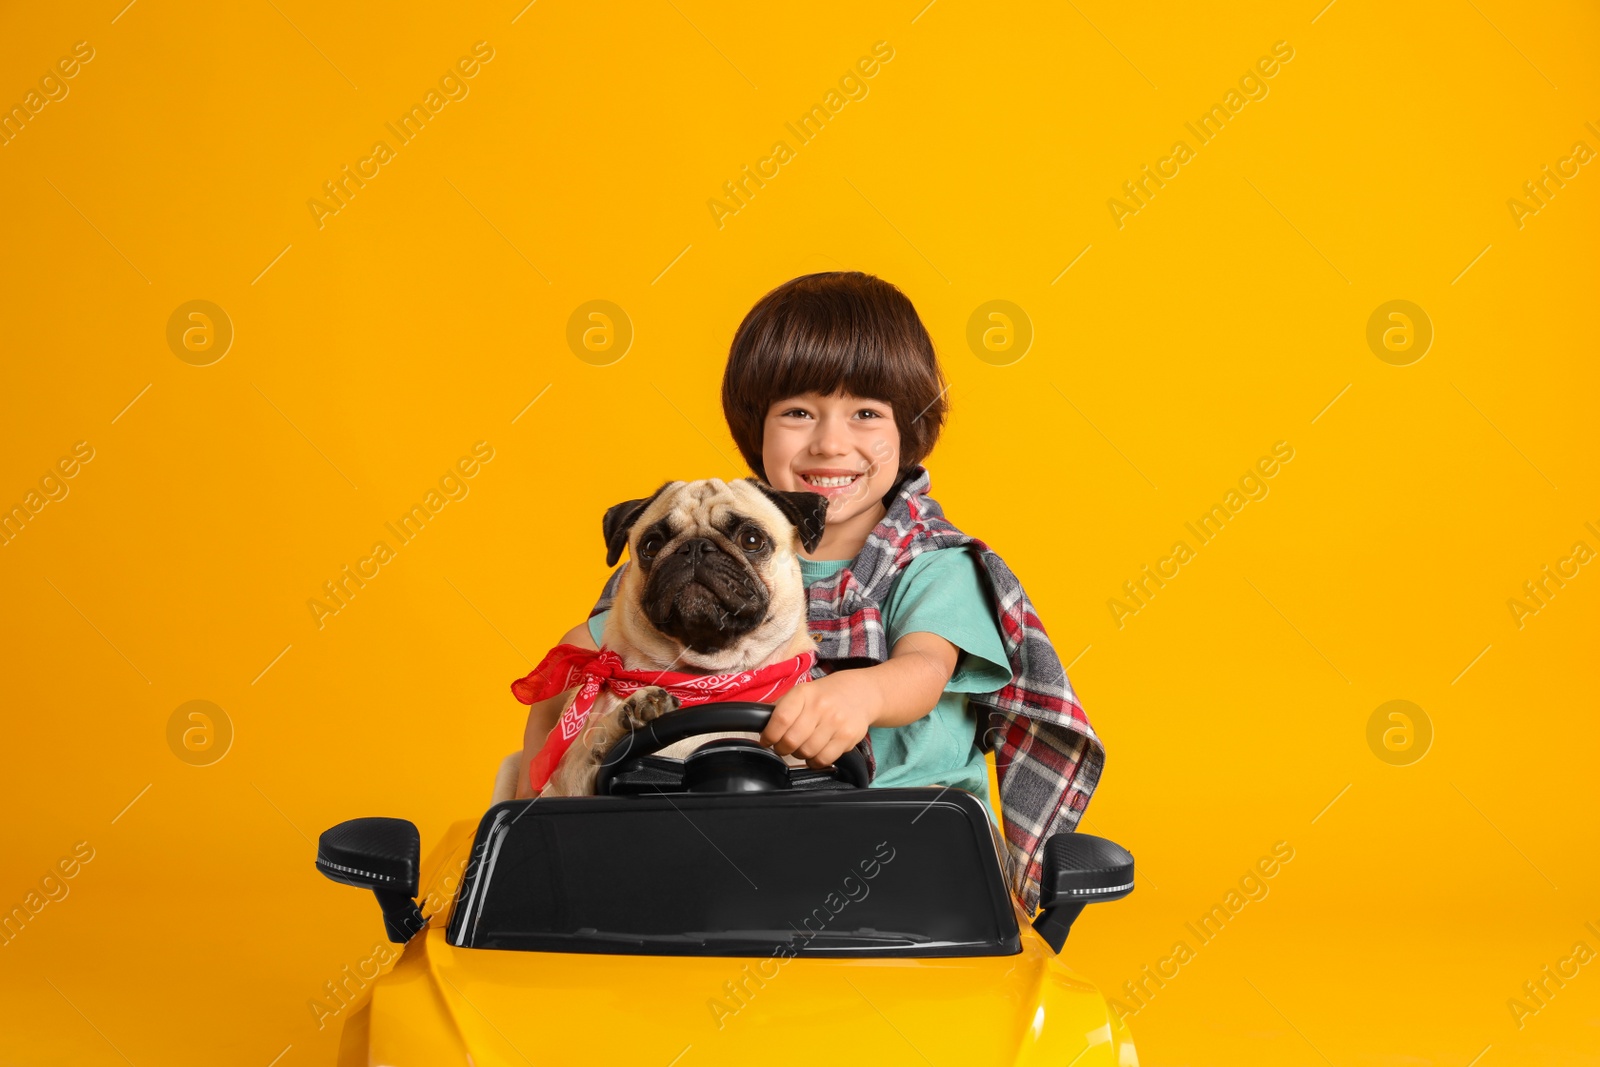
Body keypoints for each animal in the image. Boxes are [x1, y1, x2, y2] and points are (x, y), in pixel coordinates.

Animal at [537, 479, 832, 796]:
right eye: (651, 546)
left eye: (751, 540)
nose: (695, 547)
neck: (706, 684)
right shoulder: (562, 788)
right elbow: (588, 747)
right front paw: (631, 715)